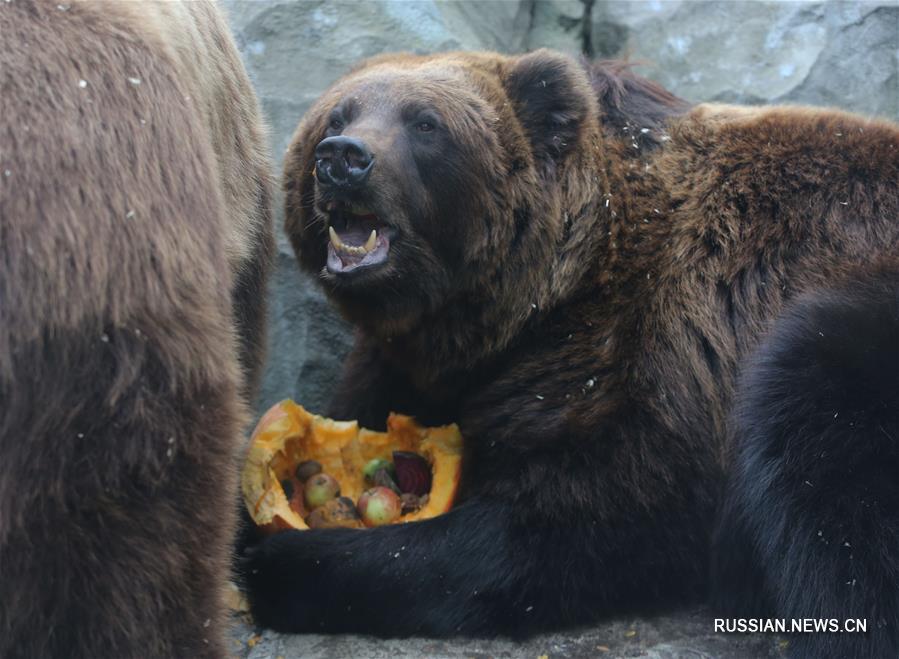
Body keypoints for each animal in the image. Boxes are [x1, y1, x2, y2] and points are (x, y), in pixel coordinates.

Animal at [243, 49, 899, 656]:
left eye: (426, 123)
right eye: (338, 113)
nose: (343, 158)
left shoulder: (644, 352)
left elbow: (570, 518)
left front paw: (285, 561)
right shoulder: (407, 360)